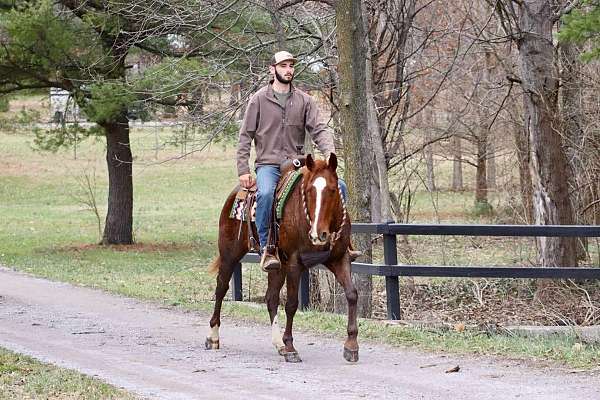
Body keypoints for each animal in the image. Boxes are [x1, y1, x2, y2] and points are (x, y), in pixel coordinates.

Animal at [204, 153, 358, 362]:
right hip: (230, 255)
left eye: (333, 190)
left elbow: (352, 294)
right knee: (221, 288)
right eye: (309, 190)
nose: (319, 234)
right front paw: (291, 347)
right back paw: (213, 337)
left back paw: (278, 344)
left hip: (277, 266)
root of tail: (237, 192)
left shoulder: (339, 259)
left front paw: (351, 345)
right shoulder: (294, 263)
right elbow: (292, 304)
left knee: (271, 298)